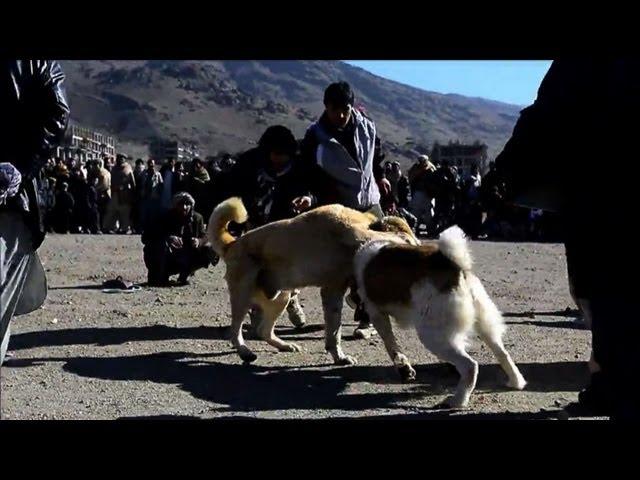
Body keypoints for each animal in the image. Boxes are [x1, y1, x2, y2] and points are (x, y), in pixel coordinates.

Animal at [206, 197, 420, 366]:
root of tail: (233, 244)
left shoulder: (333, 291)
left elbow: (334, 331)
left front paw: (339, 357)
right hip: (243, 296)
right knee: (235, 331)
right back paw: (245, 352)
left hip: (281, 298)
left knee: (263, 330)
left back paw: (284, 345)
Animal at [356, 227, 524, 406]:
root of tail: (453, 265)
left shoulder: (376, 313)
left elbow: (390, 343)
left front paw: (402, 365)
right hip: (484, 327)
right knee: (502, 354)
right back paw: (516, 382)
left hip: (432, 335)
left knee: (470, 366)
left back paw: (458, 400)